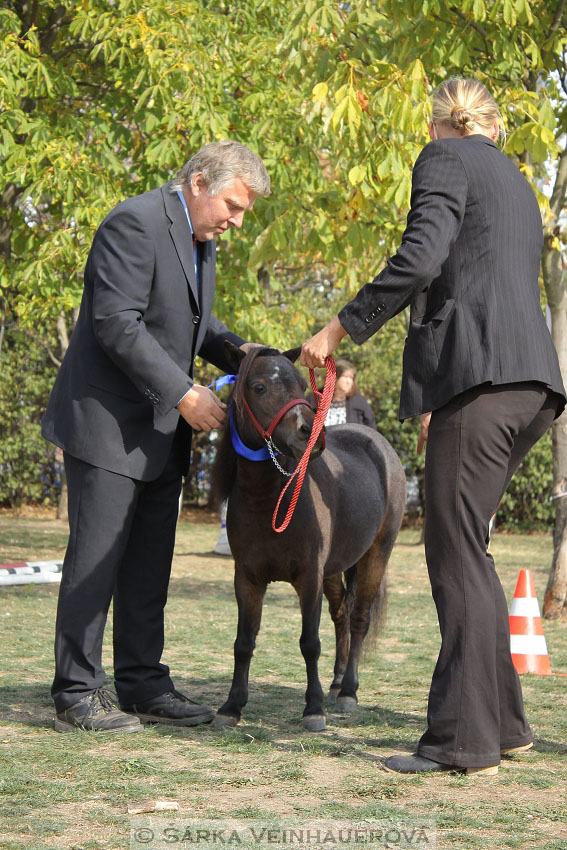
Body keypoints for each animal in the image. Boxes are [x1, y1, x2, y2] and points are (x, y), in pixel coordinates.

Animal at [211, 342, 406, 728]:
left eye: (302, 384)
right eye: (259, 387)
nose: (308, 433)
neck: (268, 499)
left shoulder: (309, 578)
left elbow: (309, 643)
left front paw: (313, 709)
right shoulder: (247, 579)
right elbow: (244, 642)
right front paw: (231, 706)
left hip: (376, 555)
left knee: (359, 619)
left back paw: (348, 691)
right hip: (336, 569)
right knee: (342, 615)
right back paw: (336, 682)